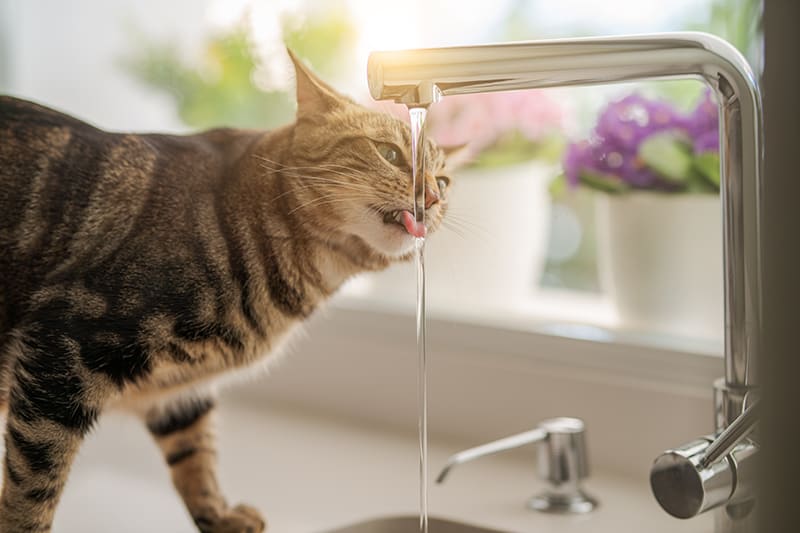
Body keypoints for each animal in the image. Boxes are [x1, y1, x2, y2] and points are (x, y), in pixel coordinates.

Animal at [0, 51, 454, 532]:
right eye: (390, 153)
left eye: (444, 183)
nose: (432, 198)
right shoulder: (65, 351)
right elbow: (34, 485)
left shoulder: (179, 392)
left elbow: (196, 457)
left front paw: (218, 515)